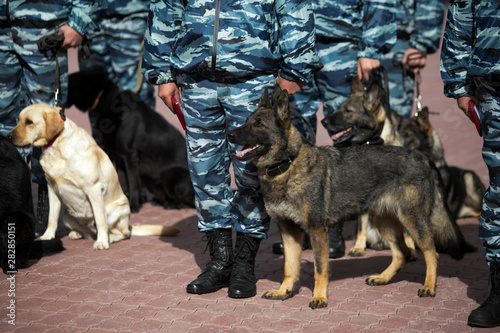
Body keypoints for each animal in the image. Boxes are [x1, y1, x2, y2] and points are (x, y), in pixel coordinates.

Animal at [7, 104, 180, 249]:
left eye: (29, 122)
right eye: (18, 119)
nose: (8, 136)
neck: (56, 147)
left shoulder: (94, 189)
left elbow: (100, 220)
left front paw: (102, 242)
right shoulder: (52, 189)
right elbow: (51, 218)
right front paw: (47, 237)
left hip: (116, 210)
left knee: (122, 233)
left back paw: (109, 238)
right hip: (67, 216)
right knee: (88, 232)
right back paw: (77, 233)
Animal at [68, 70, 195, 210]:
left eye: (68, 82)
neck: (107, 100)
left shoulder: (130, 155)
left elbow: (133, 182)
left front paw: (133, 205)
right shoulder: (118, 158)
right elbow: (122, 183)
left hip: (170, 176)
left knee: (193, 202)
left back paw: (174, 204)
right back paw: (162, 201)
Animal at [229, 89, 474, 308]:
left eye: (259, 124)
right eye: (246, 121)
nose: (230, 134)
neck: (286, 165)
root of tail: (423, 157)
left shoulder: (316, 231)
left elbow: (319, 269)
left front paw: (319, 297)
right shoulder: (288, 231)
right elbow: (289, 267)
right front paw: (284, 291)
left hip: (413, 222)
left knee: (431, 253)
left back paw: (429, 287)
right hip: (384, 221)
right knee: (401, 254)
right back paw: (382, 278)